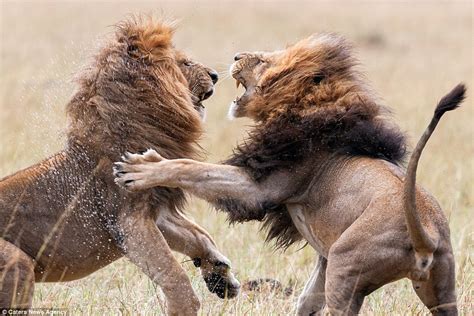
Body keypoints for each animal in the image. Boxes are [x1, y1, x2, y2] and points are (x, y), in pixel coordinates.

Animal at [0, 16, 239, 312]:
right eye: (184, 63)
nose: (215, 75)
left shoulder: (157, 212)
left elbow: (200, 236)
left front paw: (220, 275)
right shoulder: (128, 222)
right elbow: (173, 274)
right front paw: (186, 306)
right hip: (16, 261)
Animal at [115, 33, 466, 314]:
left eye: (263, 61)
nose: (236, 56)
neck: (307, 107)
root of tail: (425, 235)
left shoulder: (262, 186)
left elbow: (193, 168)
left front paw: (141, 168)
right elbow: (306, 300)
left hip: (345, 267)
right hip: (439, 289)